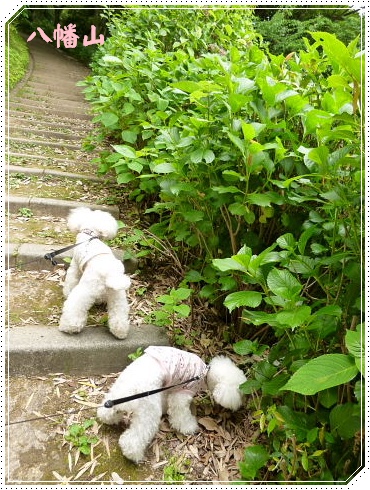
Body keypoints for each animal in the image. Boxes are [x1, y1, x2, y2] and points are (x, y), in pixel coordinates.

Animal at [58, 205, 131, 338]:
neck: (89, 234)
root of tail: (110, 275)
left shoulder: (75, 266)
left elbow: (71, 280)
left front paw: (66, 292)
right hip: (117, 296)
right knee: (119, 314)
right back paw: (120, 332)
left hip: (86, 289)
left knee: (75, 308)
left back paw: (68, 327)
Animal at [97, 344, 247, 464]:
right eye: (240, 392)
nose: (243, 404)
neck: (205, 373)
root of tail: (132, 386)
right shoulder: (182, 392)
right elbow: (180, 415)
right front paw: (189, 427)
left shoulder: (168, 387)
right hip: (149, 409)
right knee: (135, 437)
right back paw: (133, 454)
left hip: (119, 392)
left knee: (108, 409)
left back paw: (109, 418)